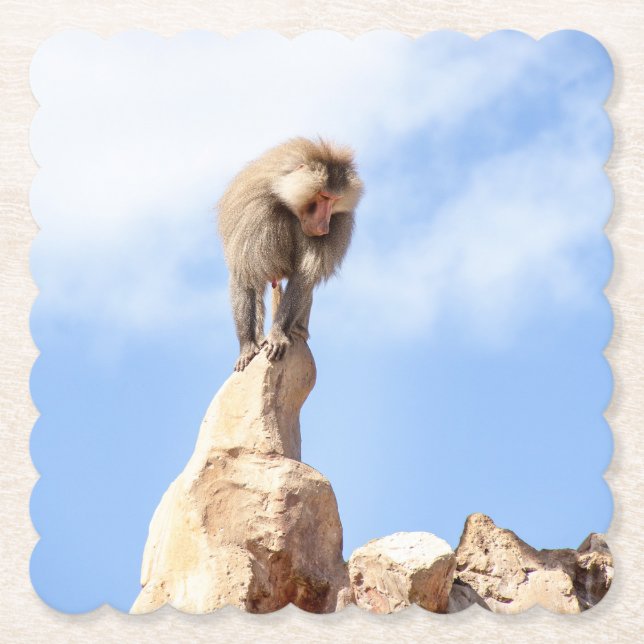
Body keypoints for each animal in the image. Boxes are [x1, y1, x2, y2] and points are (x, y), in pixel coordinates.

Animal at [217, 137, 364, 371]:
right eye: (323, 196)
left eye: (334, 200)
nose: (324, 227)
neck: (286, 202)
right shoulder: (254, 214)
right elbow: (245, 274)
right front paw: (247, 347)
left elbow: (304, 277)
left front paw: (278, 335)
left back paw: (297, 331)